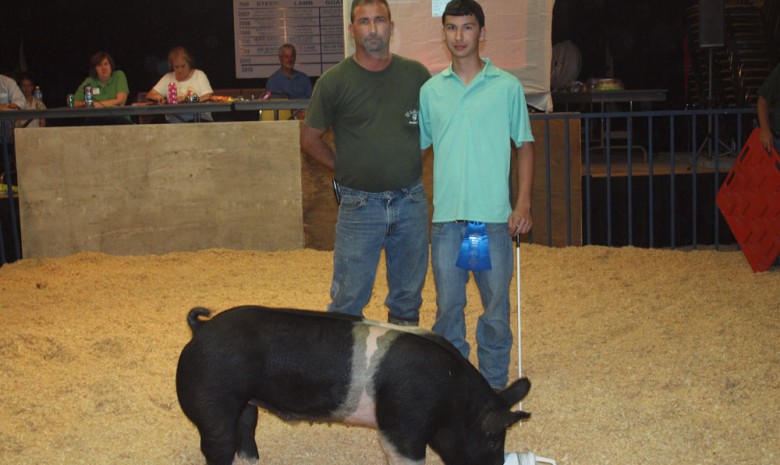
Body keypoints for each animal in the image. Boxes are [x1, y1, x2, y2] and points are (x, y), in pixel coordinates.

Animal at [176, 304, 532, 464]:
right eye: (492, 442)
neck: (451, 403)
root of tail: (199, 329)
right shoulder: (402, 427)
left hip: (247, 404)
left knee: (245, 434)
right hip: (212, 404)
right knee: (218, 444)